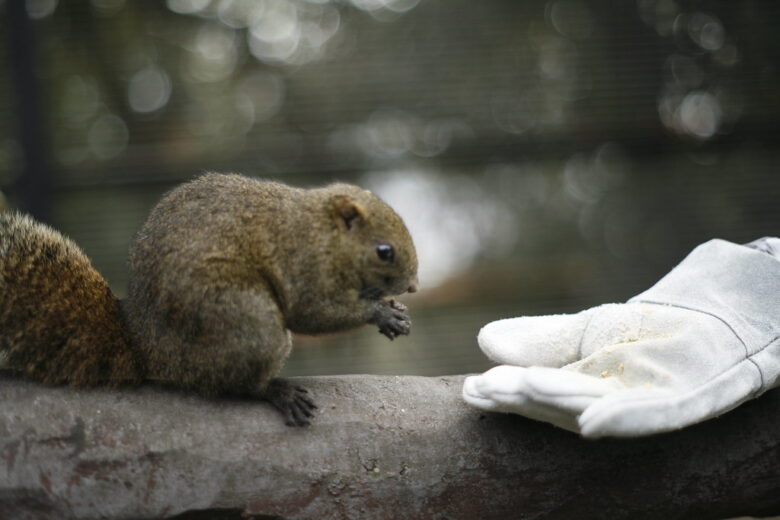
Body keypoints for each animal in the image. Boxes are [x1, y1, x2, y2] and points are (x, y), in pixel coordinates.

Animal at [0, 173, 420, 424]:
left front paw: (395, 309)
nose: (414, 286)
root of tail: (147, 350)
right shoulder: (303, 266)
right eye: (384, 251)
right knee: (235, 384)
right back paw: (278, 391)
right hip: (250, 323)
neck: (321, 231)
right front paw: (381, 314)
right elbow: (313, 313)